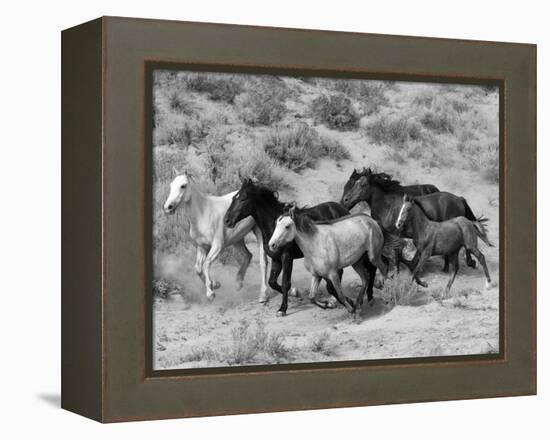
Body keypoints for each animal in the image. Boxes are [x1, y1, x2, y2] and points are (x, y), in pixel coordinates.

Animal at [163, 169, 268, 302]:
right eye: (171, 185)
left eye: (183, 186)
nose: (168, 208)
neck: (203, 214)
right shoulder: (202, 247)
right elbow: (198, 268)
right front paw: (215, 285)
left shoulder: (217, 246)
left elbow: (206, 264)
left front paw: (210, 293)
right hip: (237, 239)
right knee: (248, 255)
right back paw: (238, 283)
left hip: (258, 233)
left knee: (263, 261)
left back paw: (263, 295)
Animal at [224, 179, 350, 316]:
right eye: (233, 198)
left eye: (243, 199)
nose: (226, 220)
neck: (274, 227)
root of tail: (341, 209)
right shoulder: (276, 259)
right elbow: (272, 282)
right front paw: (295, 293)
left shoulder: (287, 257)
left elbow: (285, 283)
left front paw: (282, 309)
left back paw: (333, 300)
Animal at [340, 168, 484, 274]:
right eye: (351, 184)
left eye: (362, 184)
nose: (345, 201)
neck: (386, 206)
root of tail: (459, 199)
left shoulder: (395, 235)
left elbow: (397, 254)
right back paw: (447, 267)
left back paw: (467, 263)